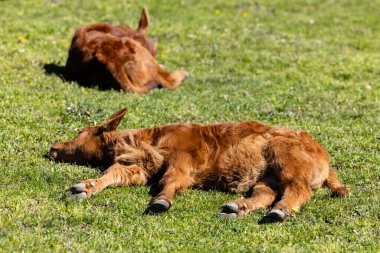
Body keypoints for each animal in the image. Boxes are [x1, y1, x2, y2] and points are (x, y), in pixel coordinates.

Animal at [49, 107, 348, 222]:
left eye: (80, 132)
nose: (53, 148)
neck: (147, 140)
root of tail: (323, 153)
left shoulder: (181, 163)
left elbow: (169, 182)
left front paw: (161, 202)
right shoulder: (141, 168)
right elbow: (113, 173)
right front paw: (84, 187)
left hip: (286, 161)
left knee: (297, 190)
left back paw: (280, 212)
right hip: (267, 176)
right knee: (265, 195)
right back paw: (235, 208)